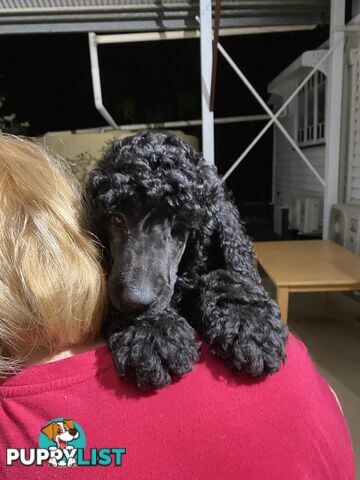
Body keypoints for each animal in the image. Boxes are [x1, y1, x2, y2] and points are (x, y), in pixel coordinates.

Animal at [84, 133, 286, 388]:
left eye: (180, 225)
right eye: (117, 219)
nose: (139, 301)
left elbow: (225, 276)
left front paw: (250, 321)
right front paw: (153, 333)